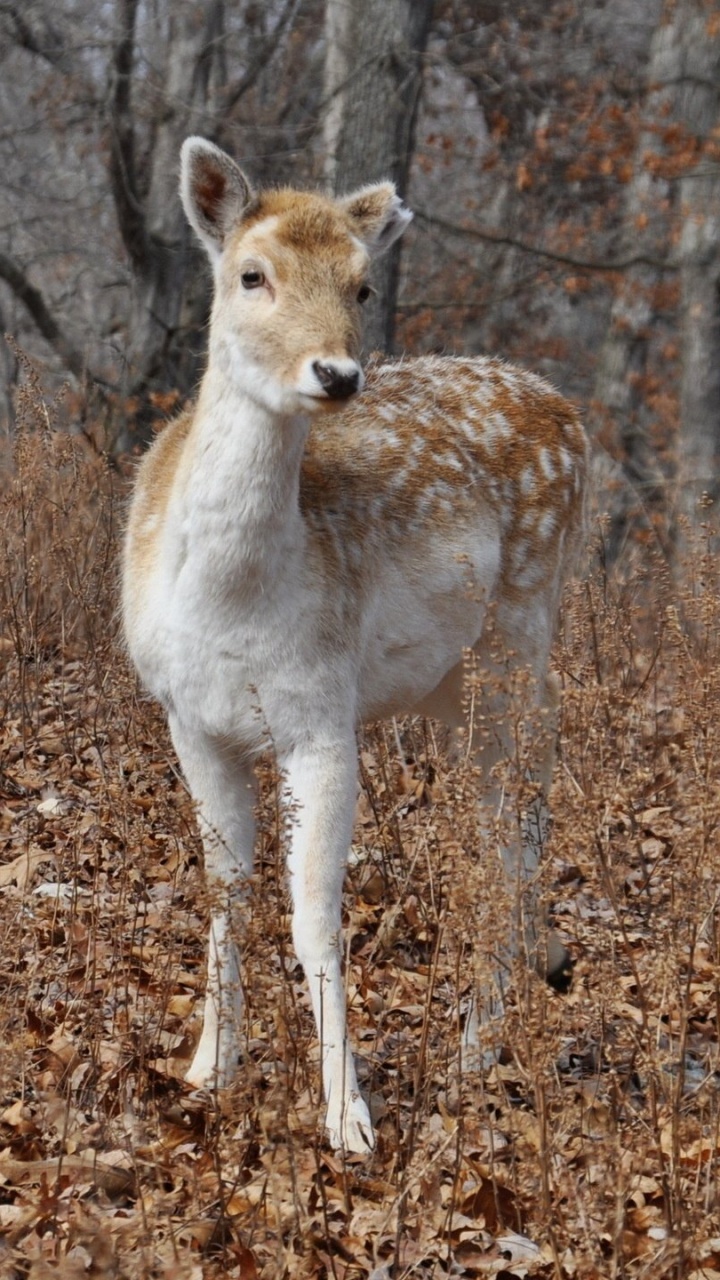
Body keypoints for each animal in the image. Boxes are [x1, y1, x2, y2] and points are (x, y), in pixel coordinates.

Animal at [121, 137, 588, 1155]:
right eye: (250, 274)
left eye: (363, 284)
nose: (336, 374)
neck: (232, 605)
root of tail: (569, 411)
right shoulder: (190, 722)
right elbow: (225, 892)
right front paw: (209, 1070)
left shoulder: (322, 717)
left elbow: (314, 920)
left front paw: (349, 1119)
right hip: (451, 687)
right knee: (510, 824)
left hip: (521, 638)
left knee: (513, 830)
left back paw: (478, 1049)